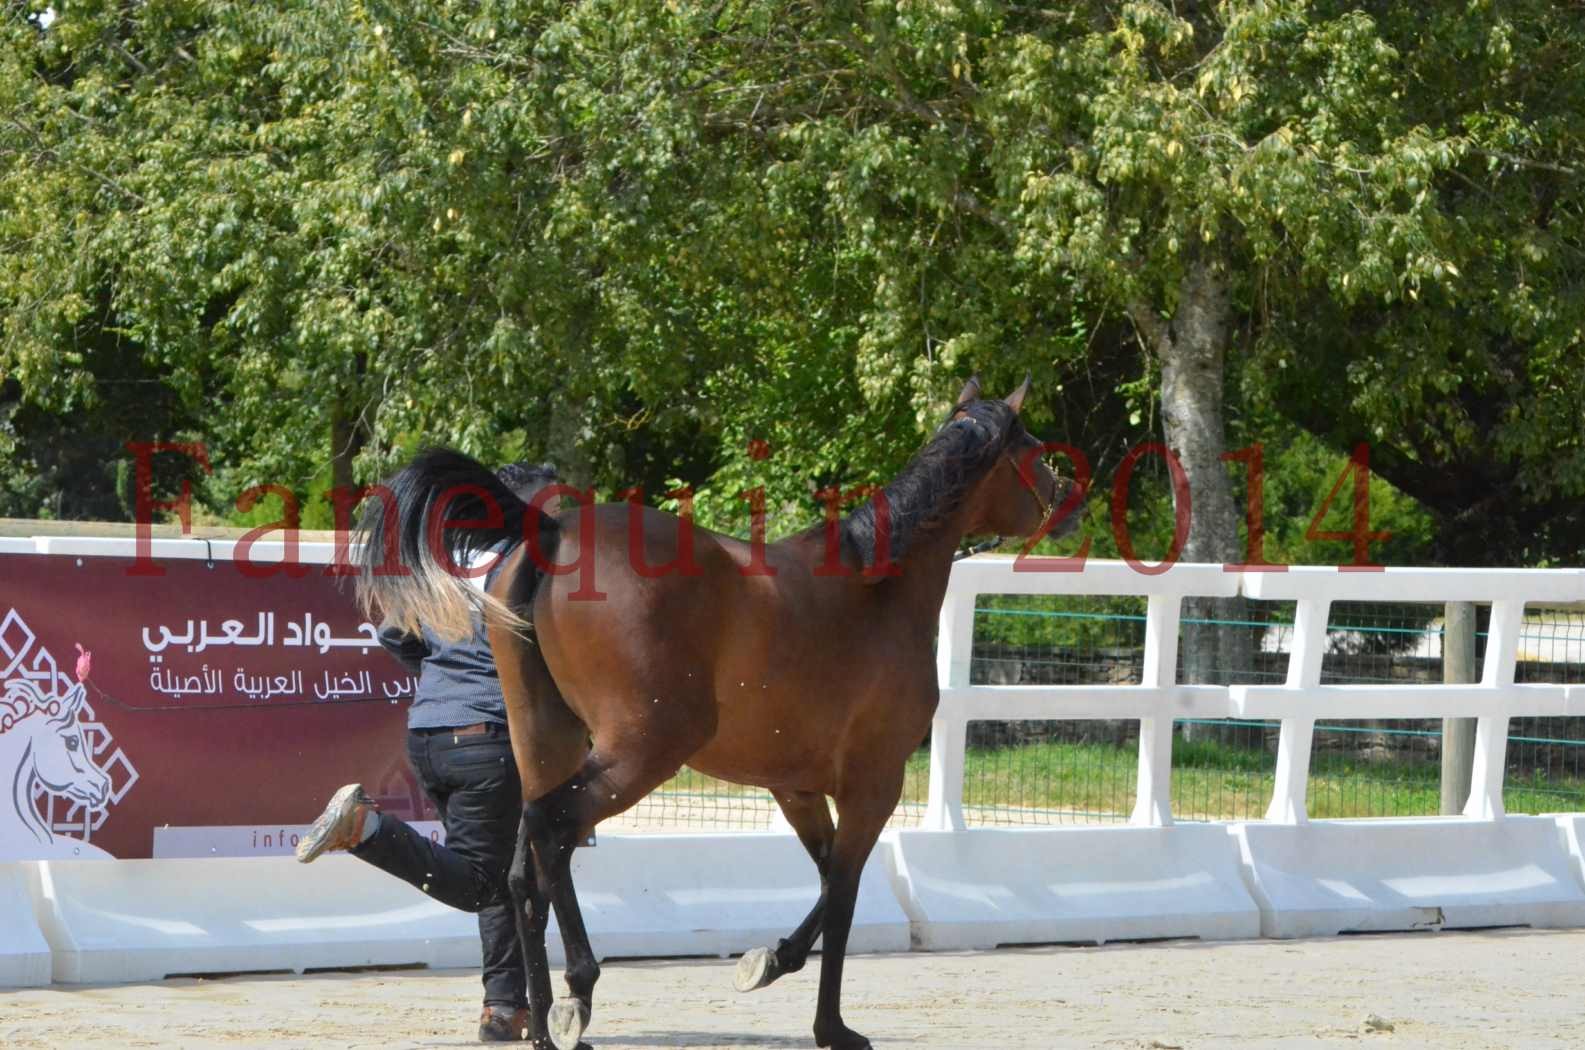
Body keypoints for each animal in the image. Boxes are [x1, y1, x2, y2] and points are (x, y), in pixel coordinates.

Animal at [358, 380, 1071, 1050]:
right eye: (1035, 449)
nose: (1068, 502)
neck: (877, 587)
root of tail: (555, 533)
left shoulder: (795, 788)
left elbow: (827, 879)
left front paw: (769, 960)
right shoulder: (876, 783)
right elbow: (843, 893)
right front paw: (832, 1026)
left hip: (544, 741)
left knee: (521, 867)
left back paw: (539, 1021)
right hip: (641, 752)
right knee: (553, 826)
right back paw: (577, 992)